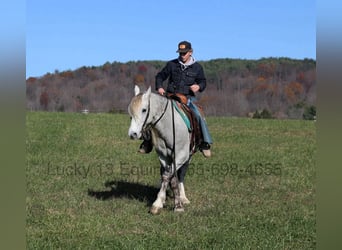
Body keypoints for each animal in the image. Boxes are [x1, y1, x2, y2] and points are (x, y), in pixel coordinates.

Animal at [128, 86, 192, 215]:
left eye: (144, 110)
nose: (133, 134)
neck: (169, 126)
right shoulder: (163, 156)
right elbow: (166, 176)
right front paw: (159, 202)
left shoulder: (181, 155)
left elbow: (171, 176)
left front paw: (177, 205)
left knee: (181, 174)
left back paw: (183, 197)